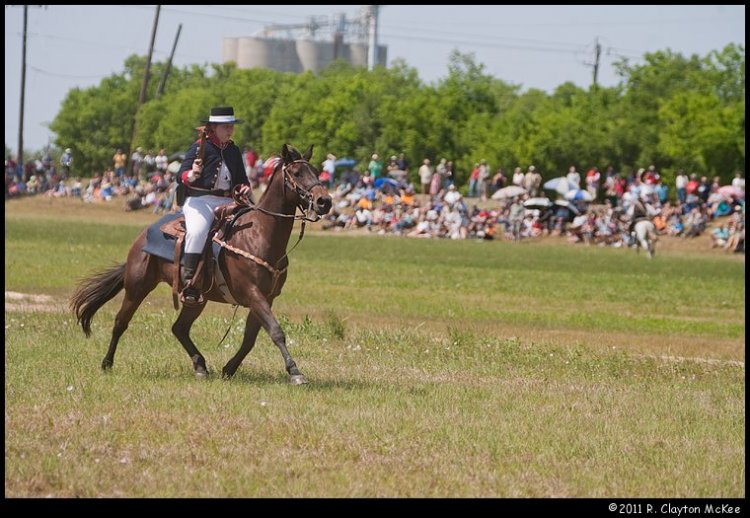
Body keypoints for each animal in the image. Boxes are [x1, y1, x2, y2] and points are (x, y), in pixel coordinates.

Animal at [71, 144, 334, 384]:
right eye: (297, 173)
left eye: (316, 171)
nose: (325, 201)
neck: (259, 235)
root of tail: (143, 236)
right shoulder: (253, 294)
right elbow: (276, 331)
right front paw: (295, 372)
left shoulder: (266, 298)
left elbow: (251, 338)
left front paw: (229, 369)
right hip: (138, 286)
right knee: (120, 322)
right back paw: (107, 363)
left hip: (196, 298)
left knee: (179, 328)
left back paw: (200, 365)